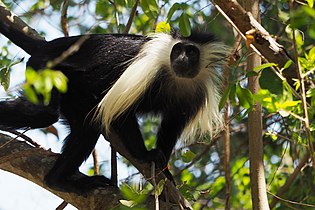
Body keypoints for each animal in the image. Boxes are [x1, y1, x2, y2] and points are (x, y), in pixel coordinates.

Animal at [0, 21, 227, 194]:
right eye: (177, 50)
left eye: (191, 52)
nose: (181, 58)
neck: (176, 77)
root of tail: (48, 47)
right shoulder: (146, 72)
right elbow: (121, 115)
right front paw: (146, 155)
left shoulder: (195, 95)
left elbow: (171, 126)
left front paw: (164, 169)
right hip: (44, 69)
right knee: (44, 115)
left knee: (85, 127)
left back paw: (57, 181)